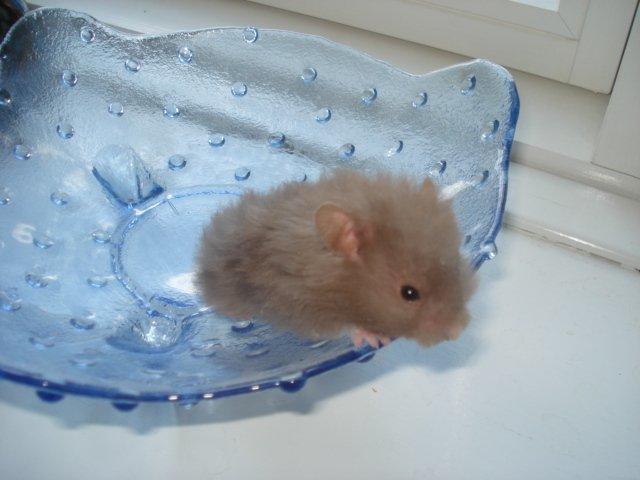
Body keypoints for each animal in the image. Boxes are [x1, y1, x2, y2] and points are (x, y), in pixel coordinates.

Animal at [196, 169, 476, 349]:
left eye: (457, 269)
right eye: (409, 293)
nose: (459, 331)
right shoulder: (304, 305)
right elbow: (343, 325)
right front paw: (374, 338)